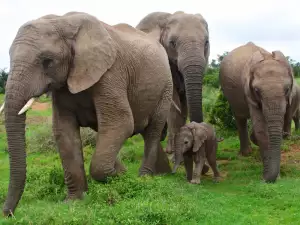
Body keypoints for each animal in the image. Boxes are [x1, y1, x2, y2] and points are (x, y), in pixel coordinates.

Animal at [1, 11, 175, 216]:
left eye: (47, 61)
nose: (8, 213)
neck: (63, 21)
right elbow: (64, 132)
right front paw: (74, 202)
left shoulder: (111, 73)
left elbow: (121, 123)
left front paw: (121, 176)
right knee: (137, 132)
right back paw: (160, 173)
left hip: (166, 88)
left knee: (153, 130)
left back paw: (144, 178)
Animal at [136, 11, 211, 174]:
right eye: (172, 43)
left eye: (206, 43)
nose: (205, 169)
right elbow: (173, 105)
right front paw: (177, 157)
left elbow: (185, 104)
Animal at [219, 41, 294, 183]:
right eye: (257, 91)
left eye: (287, 89)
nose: (264, 179)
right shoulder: (248, 91)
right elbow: (262, 130)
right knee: (240, 118)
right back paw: (246, 153)